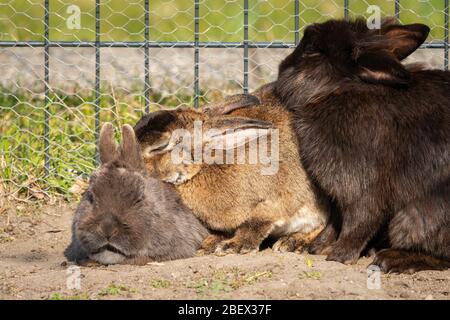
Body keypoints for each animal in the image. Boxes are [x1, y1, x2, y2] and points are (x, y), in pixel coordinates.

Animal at [132, 84, 328, 256]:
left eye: (160, 146)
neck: (205, 165)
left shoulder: (272, 203)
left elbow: (254, 224)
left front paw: (234, 246)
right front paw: (208, 245)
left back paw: (294, 243)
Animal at [274, 17, 450, 272]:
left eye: (311, 49)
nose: (281, 66)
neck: (339, 91)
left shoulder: (363, 187)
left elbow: (360, 220)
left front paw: (339, 255)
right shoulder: (339, 195)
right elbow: (335, 222)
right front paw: (318, 247)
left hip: (414, 217)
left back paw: (390, 259)